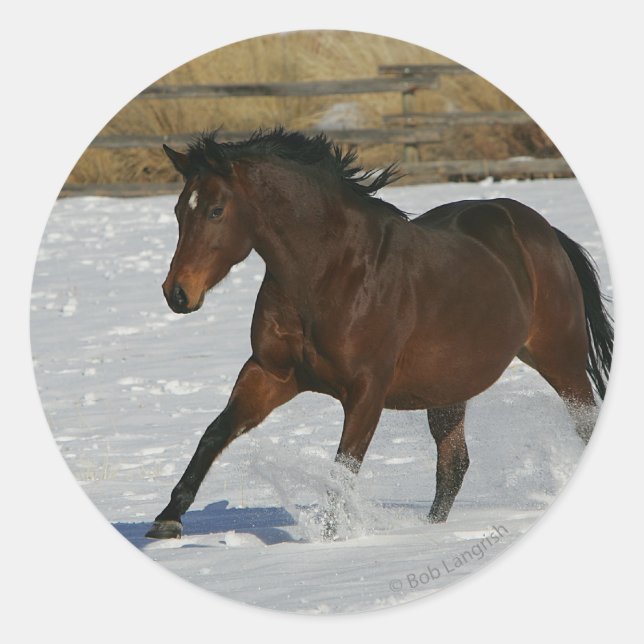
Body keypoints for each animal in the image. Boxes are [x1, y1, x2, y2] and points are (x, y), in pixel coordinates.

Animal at [145, 127, 613, 540]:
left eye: (216, 210)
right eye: (178, 211)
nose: (177, 293)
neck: (329, 272)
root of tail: (542, 231)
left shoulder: (367, 390)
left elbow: (343, 469)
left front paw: (332, 539)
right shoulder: (269, 374)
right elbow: (214, 434)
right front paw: (167, 520)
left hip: (561, 362)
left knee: (583, 425)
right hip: (449, 389)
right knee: (453, 466)